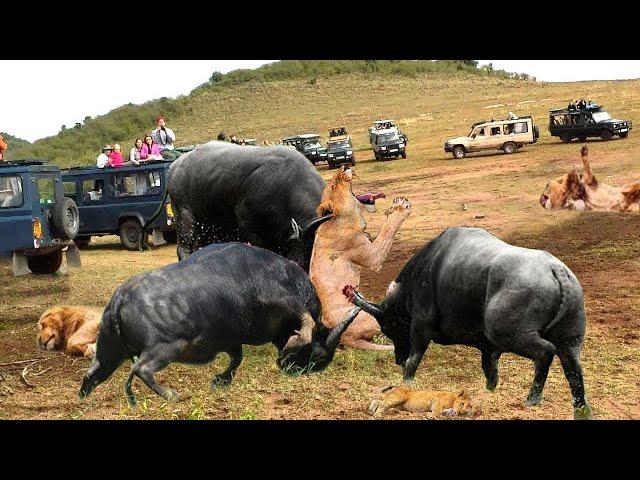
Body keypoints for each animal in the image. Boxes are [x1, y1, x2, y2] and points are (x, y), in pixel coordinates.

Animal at [80, 242, 360, 406]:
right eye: (317, 354)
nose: (298, 369)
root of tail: (121, 297)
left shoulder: (230, 340)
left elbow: (237, 358)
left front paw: (221, 380)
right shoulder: (286, 303)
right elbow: (307, 321)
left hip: (111, 351)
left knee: (94, 371)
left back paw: (84, 397)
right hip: (165, 347)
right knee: (141, 368)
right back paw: (171, 395)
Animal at [308, 168, 410, 348]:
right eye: (334, 185)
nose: (344, 167)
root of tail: (344, 339)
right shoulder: (373, 256)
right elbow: (387, 230)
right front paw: (400, 207)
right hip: (368, 317)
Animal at [348, 227, 592, 418]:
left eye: (388, 328)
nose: (397, 358)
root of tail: (556, 270)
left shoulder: (420, 327)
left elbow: (414, 360)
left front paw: (407, 381)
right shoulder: (489, 349)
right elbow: (490, 372)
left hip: (509, 333)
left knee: (546, 352)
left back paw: (532, 399)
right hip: (570, 340)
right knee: (573, 369)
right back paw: (581, 409)